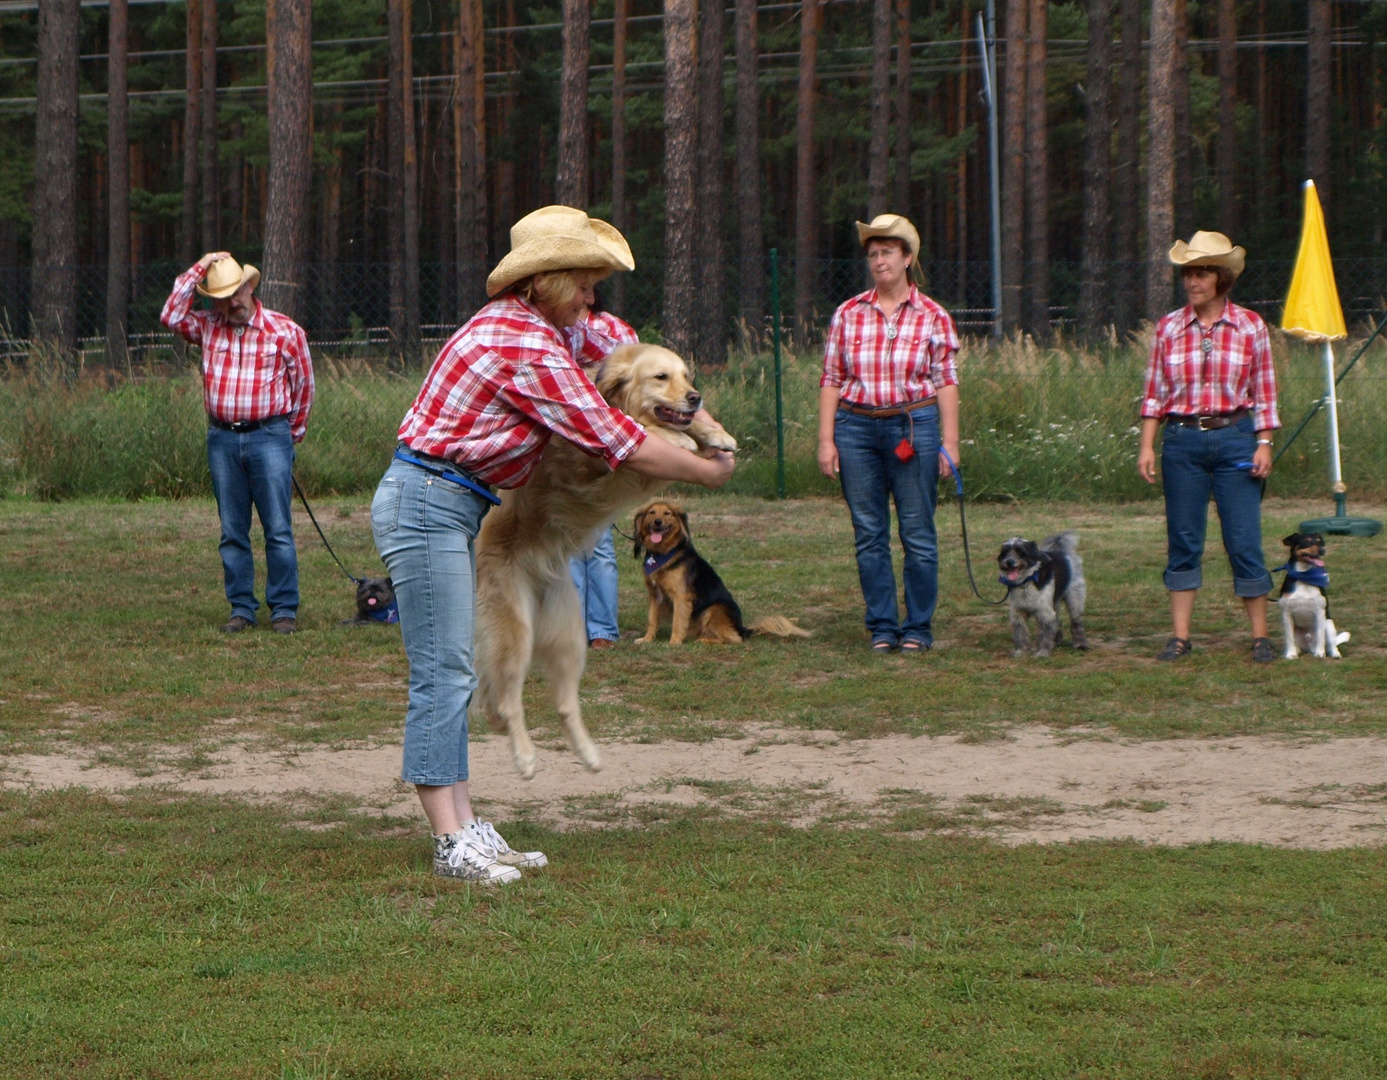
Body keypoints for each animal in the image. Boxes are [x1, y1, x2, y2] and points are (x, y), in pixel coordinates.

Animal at [632, 501, 810, 646]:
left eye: (667, 513)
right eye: (651, 512)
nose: (657, 522)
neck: (663, 553)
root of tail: (742, 628)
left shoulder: (681, 596)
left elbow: (677, 621)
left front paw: (674, 642)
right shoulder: (655, 594)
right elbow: (652, 620)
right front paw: (647, 639)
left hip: (715, 609)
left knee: (734, 639)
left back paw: (705, 640)